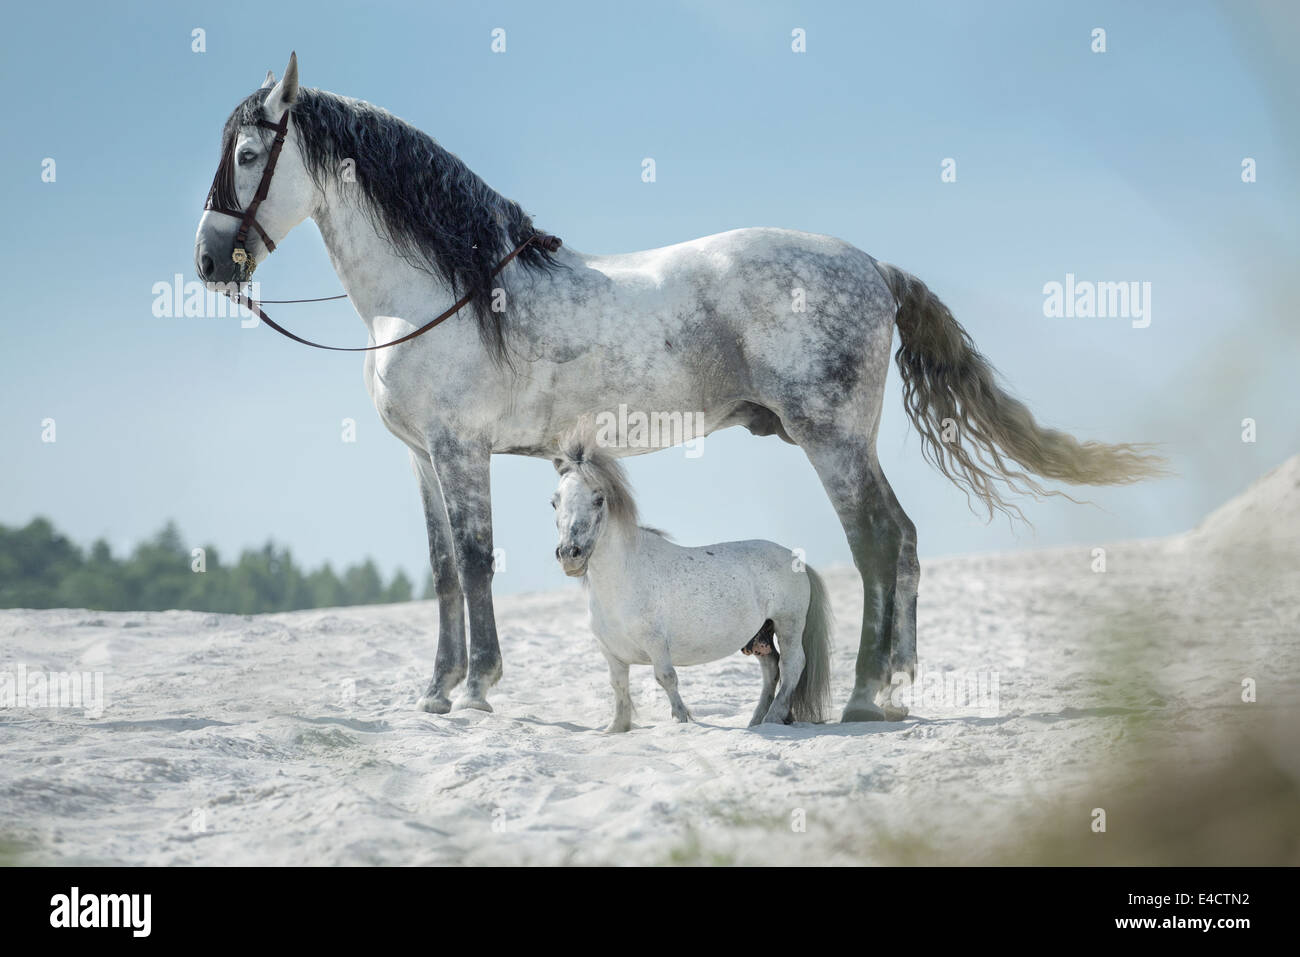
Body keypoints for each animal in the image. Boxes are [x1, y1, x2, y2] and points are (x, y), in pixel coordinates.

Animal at [548, 421, 832, 728]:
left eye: (599, 499)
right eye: (554, 502)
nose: (570, 555)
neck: (620, 584)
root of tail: (796, 559)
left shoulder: (657, 646)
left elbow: (666, 678)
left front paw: (682, 719)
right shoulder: (612, 655)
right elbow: (619, 688)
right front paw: (616, 728)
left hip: (788, 624)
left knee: (792, 666)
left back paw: (772, 717)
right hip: (761, 635)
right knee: (771, 669)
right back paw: (756, 721)